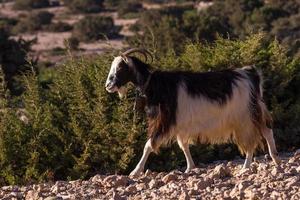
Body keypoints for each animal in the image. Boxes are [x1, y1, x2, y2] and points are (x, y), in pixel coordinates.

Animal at [105, 48, 282, 175]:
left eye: (121, 67)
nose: (108, 86)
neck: (156, 85)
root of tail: (250, 73)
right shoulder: (180, 125)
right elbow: (183, 145)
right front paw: (190, 168)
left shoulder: (164, 122)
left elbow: (148, 145)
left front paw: (135, 172)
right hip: (252, 113)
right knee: (266, 131)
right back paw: (275, 160)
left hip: (245, 116)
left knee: (253, 138)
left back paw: (247, 166)